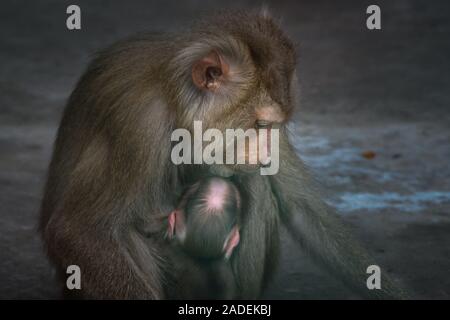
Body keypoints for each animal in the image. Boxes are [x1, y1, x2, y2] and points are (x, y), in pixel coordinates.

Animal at [39, 11, 404, 298]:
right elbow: (80, 231)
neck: (174, 99)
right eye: (259, 124)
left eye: (272, 127)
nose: (265, 150)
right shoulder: (140, 120)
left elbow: (302, 209)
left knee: (254, 183)